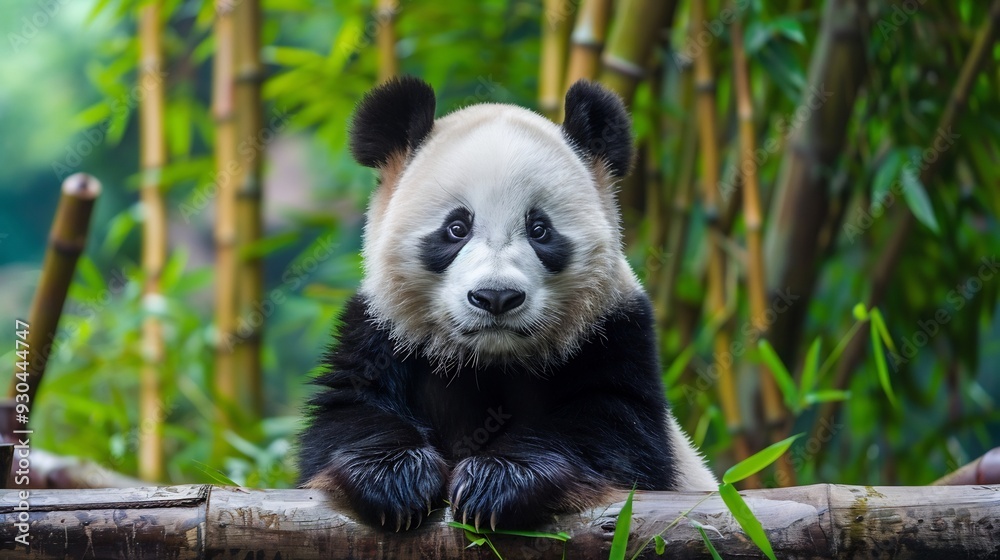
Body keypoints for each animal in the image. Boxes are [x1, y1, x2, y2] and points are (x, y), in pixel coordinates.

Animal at [297, 76, 717, 532]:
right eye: (456, 228)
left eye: (540, 229)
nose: (495, 297)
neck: (488, 360)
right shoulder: (382, 331)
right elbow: (347, 414)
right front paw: (395, 477)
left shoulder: (615, 332)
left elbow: (609, 430)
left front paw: (495, 482)